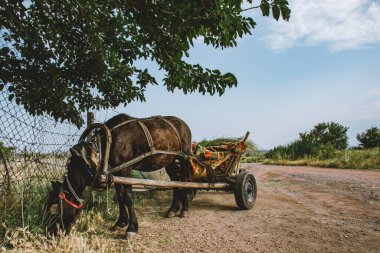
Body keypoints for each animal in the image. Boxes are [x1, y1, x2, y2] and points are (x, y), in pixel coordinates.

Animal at [45, 114, 191, 237]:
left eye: (55, 209)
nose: (51, 233)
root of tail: (183, 124)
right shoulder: (116, 172)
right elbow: (119, 196)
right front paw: (121, 222)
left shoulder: (125, 168)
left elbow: (127, 197)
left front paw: (132, 228)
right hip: (169, 161)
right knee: (175, 181)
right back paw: (173, 209)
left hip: (184, 157)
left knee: (185, 181)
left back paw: (184, 209)